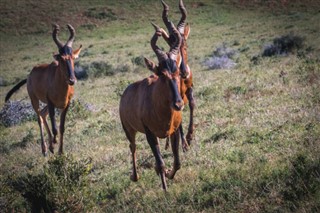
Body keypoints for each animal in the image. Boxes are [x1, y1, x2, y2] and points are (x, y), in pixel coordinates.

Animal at [4, 24, 82, 156]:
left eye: (72, 57)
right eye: (61, 58)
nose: (72, 80)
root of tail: (29, 76)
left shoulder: (66, 105)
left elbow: (62, 128)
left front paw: (60, 151)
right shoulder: (50, 103)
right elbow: (55, 128)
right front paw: (54, 144)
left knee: (43, 114)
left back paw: (49, 147)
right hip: (34, 100)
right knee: (39, 117)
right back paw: (45, 149)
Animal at [120, 21, 184, 191]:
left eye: (178, 73)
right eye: (162, 75)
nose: (179, 104)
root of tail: (125, 92)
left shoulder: (174, 131)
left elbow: (177, 162)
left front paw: (169, 174)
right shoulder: (149, 133)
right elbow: (161, 163)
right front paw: (165, 189)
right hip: (129, 129)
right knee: (133, 146)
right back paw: (134, 176)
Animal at [146, 0, 194, 152]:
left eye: (185, 44)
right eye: (170, 43)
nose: (184, 72)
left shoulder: (190, 88)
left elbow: (192, 104)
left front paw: (190, 136)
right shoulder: (176, 98)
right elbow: (179, 120)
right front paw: (185, 143)